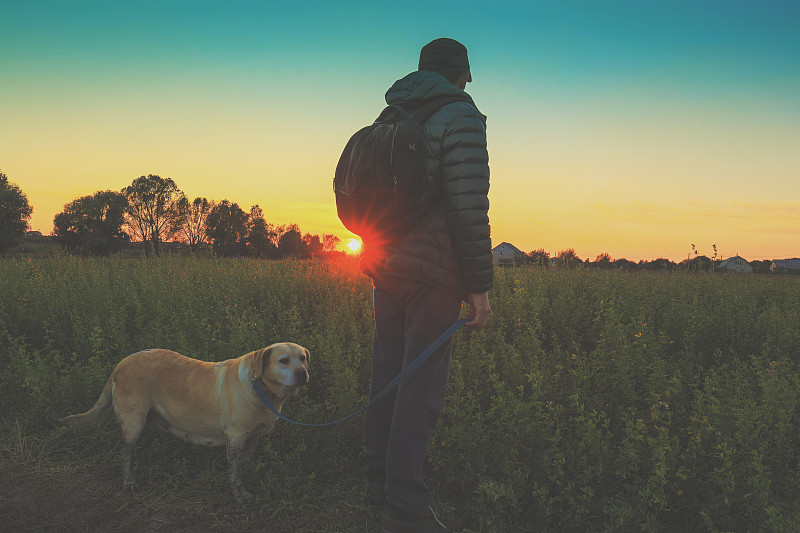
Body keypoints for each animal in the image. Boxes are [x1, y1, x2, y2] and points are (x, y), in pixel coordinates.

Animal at [58, 342, 310, 500]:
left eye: (303, 359)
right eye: (283, 360)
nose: (303, 373)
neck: (262, 390)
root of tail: (121, 364)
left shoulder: (255, 435)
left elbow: (245, 460)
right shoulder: (236, 436)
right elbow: (234, 468)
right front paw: (239, 492)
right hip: (133, 423)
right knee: (124, 454)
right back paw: (129, 482)